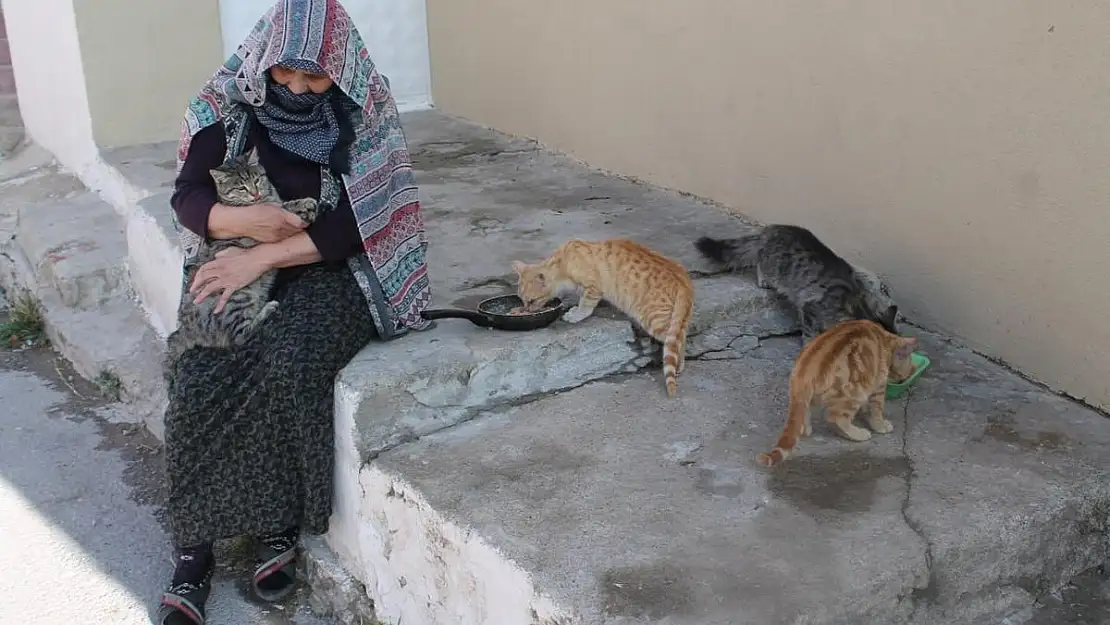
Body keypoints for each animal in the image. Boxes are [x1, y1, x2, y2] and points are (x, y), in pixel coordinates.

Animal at [164, 154, 321, 379]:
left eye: (256, 179)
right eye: (240, 187)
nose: (255, 193)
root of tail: (184, 329)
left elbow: (282, 203)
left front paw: (304, 206)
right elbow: (282, 208)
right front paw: (302, 204)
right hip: (236, 300)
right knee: (239, 337)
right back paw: (267, 309)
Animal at [510, 237, 692, 399]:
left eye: (532, 301)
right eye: (522, 300)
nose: (526, 309)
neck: (563, 263)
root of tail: (684, 280)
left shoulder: (593, 288)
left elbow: (585, 306)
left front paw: (575, 315)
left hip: (654, 320)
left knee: (677, 342)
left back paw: (678, 366)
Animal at [692, 224, 901, 341]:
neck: (859, 306)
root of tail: (770, 229)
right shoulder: (811, 309)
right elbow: (810, 333)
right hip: (773, 264)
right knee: (760, 262)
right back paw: (764, 279)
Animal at [754, 319, 919, 466]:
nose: (902, 380)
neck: (884, 340)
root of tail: (804, 372)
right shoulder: (878, 385)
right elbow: (877, 410)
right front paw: (880, 425)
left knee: (805, 414)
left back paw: (805, 429)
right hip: (853, 393)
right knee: (836, 419)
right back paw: (857, 434)